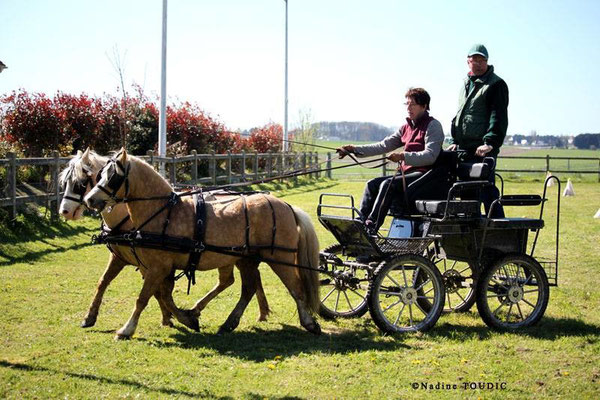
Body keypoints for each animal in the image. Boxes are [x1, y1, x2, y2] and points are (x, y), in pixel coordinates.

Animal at [58, 148, 270, 332]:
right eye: (65, 182)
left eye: (79, 182)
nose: (64, 211)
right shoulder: (121, 257)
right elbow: (103, 283)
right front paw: (89, 317)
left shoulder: (155, 264)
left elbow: (156, 292)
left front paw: (172, 318)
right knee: (234, 280)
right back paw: (258, 311)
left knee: (244, 281)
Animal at [84, 148, 322, 340]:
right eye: (99, 175)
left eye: (113, 177)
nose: (89, 199)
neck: (163, 211)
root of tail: (287, 206)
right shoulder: (155, 267)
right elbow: (160, 295)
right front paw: (187, 318)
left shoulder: (157, 267)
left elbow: (143, 298)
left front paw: (127, 329)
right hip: (246, 259)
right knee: (247, 288)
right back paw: (228, 322)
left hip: (280, 257)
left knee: (295, 288)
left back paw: (309, 323)